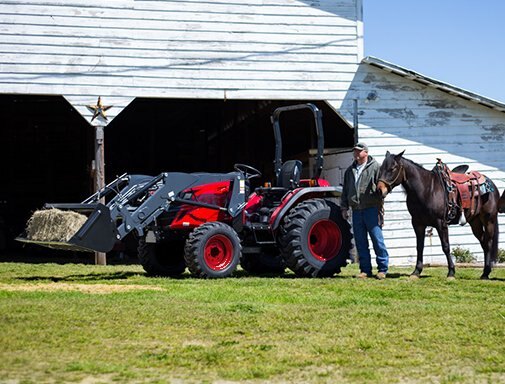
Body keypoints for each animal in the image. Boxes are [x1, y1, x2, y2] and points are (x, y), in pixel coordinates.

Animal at [376, 151, 498, 280]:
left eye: (392, 168)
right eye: (381, 168)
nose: (379, 190)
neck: (426, 190)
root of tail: (491, 185)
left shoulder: (441, 223)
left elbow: (446, 246)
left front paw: (451, 272)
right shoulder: (418, 224)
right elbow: (419, 247)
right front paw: (416, 272)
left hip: (489, 220)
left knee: (488, 242)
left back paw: (486, 273)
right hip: (475, 222)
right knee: (484, 242)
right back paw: (484, 273)